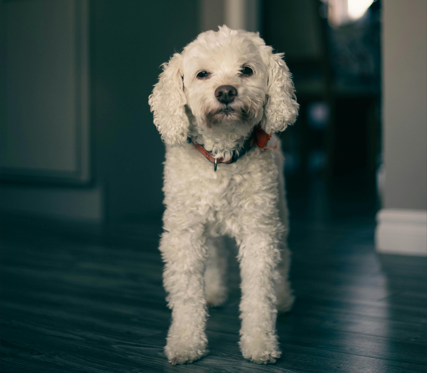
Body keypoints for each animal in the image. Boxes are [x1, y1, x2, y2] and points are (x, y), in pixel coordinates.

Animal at [149, 25, 300, 364]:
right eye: (202, 74)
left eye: (247, 70)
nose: (226, 92)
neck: (222, 154)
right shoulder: (185, 233)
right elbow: (186, 294)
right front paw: (186, 342)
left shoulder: (259, 233)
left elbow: (259, 294)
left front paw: (260, 343)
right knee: (216, 253)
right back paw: (214, 291)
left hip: (280, 213)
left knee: (284, 257)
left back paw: (284, 296)